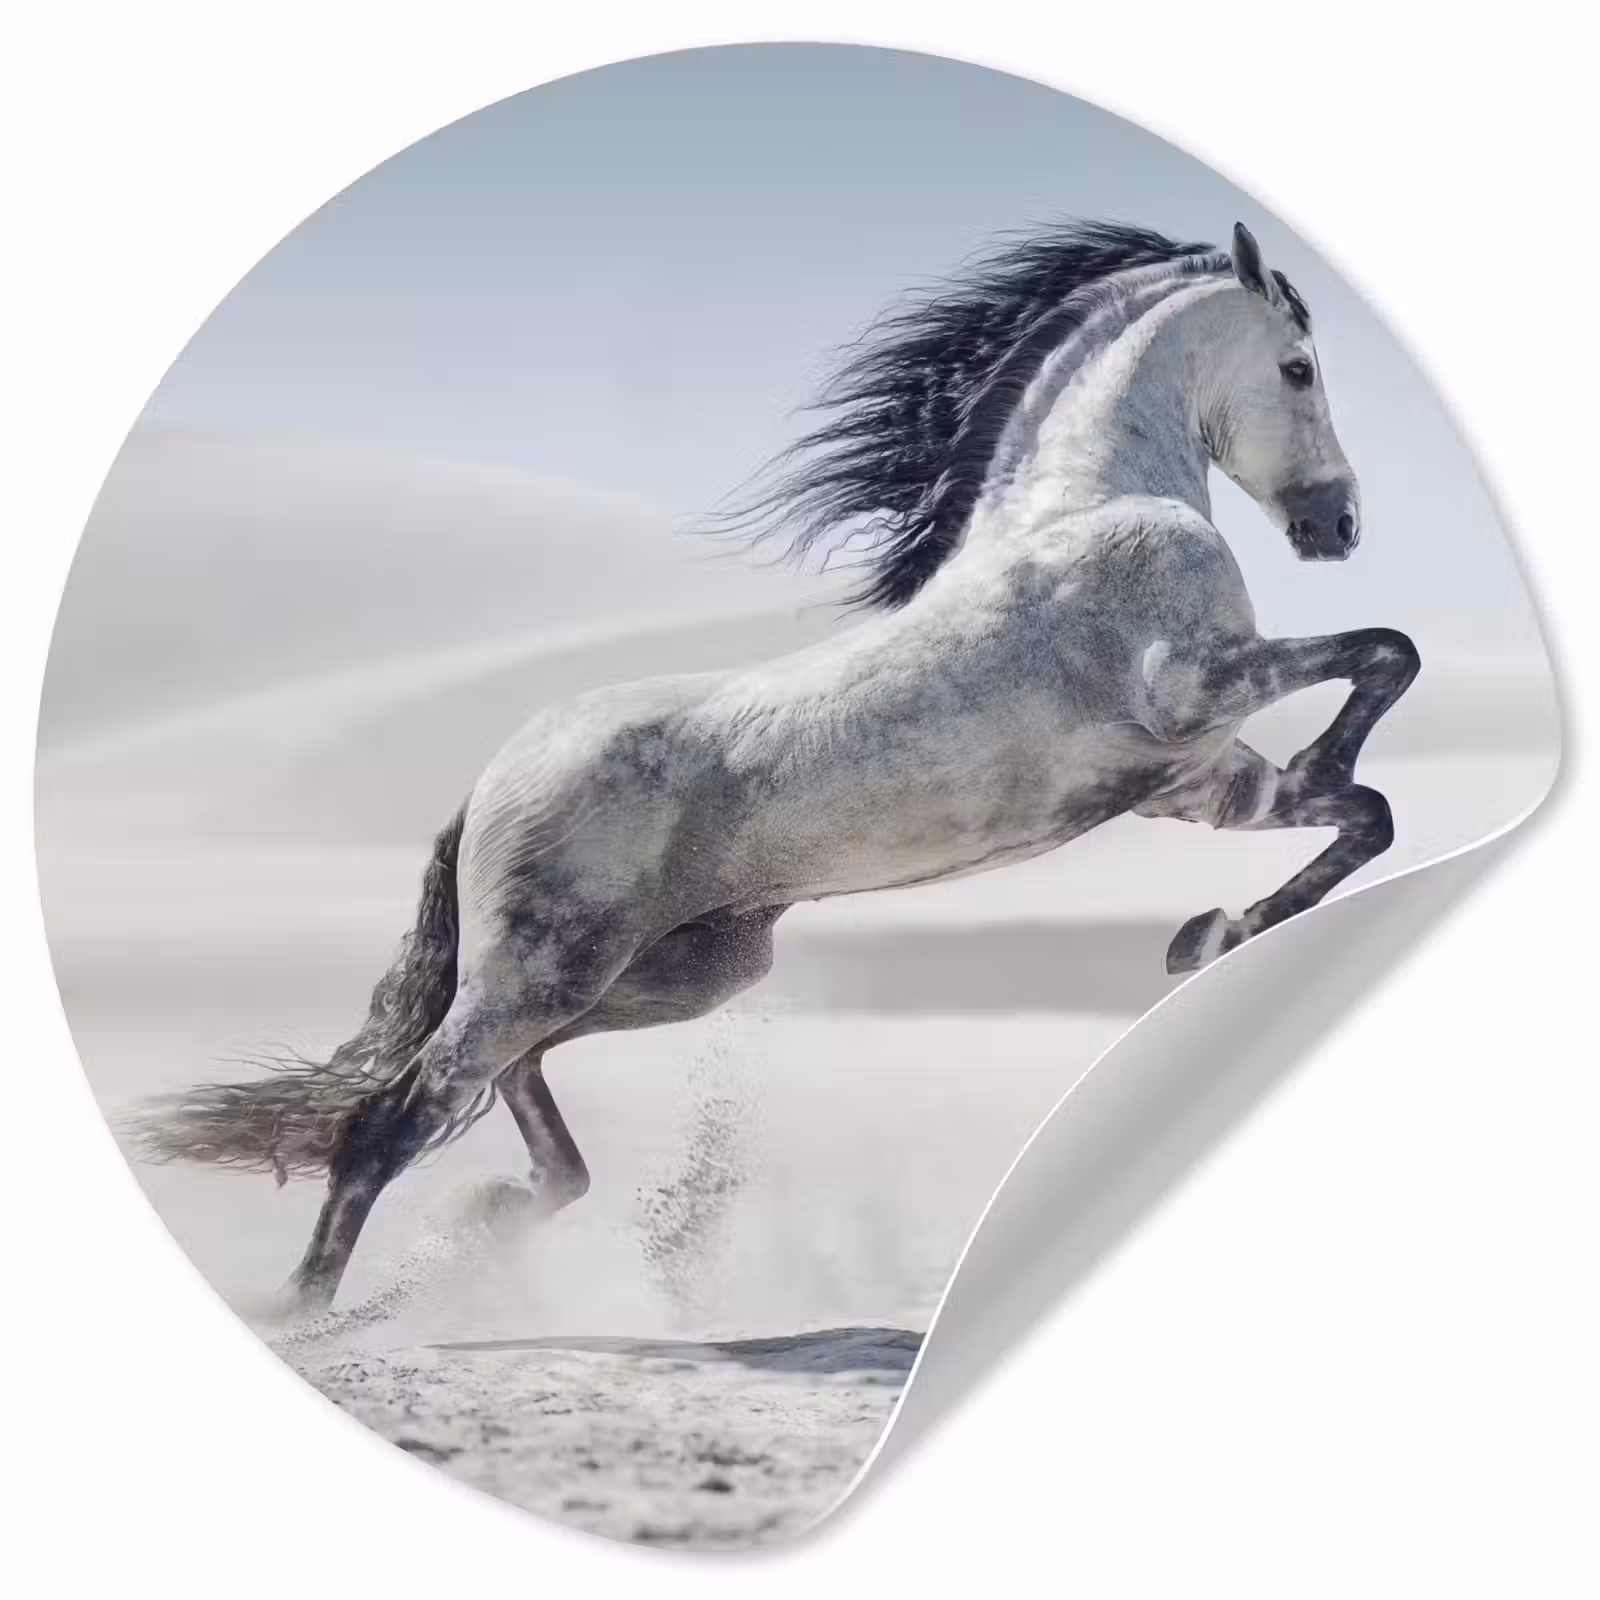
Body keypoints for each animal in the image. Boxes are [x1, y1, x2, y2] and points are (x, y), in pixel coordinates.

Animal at [134, 219, 1419, 1313]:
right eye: (1298, 367)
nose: (1339, 525)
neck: (1089, 505)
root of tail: (492, 777)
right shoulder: (1194, 688)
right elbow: (1385, 655)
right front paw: (1222, 918)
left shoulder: (1197, 783)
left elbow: (1364, 810)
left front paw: (1209, 937)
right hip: (549, 970)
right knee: (394, 1116)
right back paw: (312, 1309)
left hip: (670, 973)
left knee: (506, 1087)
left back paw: (495, 1219)